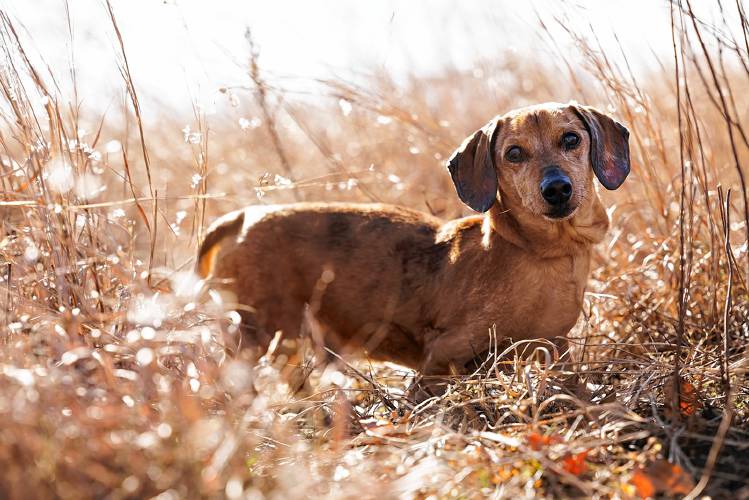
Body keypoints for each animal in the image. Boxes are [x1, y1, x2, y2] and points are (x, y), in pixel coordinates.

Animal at [196, 102, 628, 386]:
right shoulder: (440, 359)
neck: (541, 254)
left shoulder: (557, 350)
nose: (556, 189)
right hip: (261, 338)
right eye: (514, 153)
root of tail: (243, 217)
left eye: (571, 139)